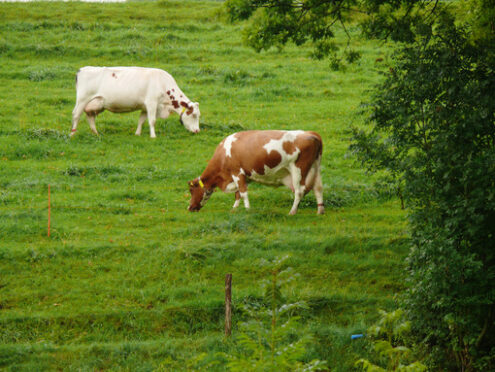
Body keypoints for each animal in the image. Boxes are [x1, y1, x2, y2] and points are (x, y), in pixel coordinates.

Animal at [70, 66, 202, 137]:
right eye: (193, 115)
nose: (197, 130)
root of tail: (82, 69)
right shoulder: (152, 103)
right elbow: (152, 121)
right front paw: (153, 136)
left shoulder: (144, 106)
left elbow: (141, 120)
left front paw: (137, 133)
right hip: (82, 100)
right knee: (76, 115)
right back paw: (72, 134)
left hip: (94, 103)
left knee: (90, 117)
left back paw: (96, 133)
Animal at [188, 131, 324, 215]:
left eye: (191, 190)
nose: (189, 208)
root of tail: (311, 134)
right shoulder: (242, 176)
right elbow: (238, 194)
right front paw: (234, 209)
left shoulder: (237, 173)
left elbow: (243, 193)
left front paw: (248, 209)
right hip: (316, 168)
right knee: (318, 188)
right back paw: (320, 211)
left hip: (298, 170)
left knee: (299, 191)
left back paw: (292, 211)